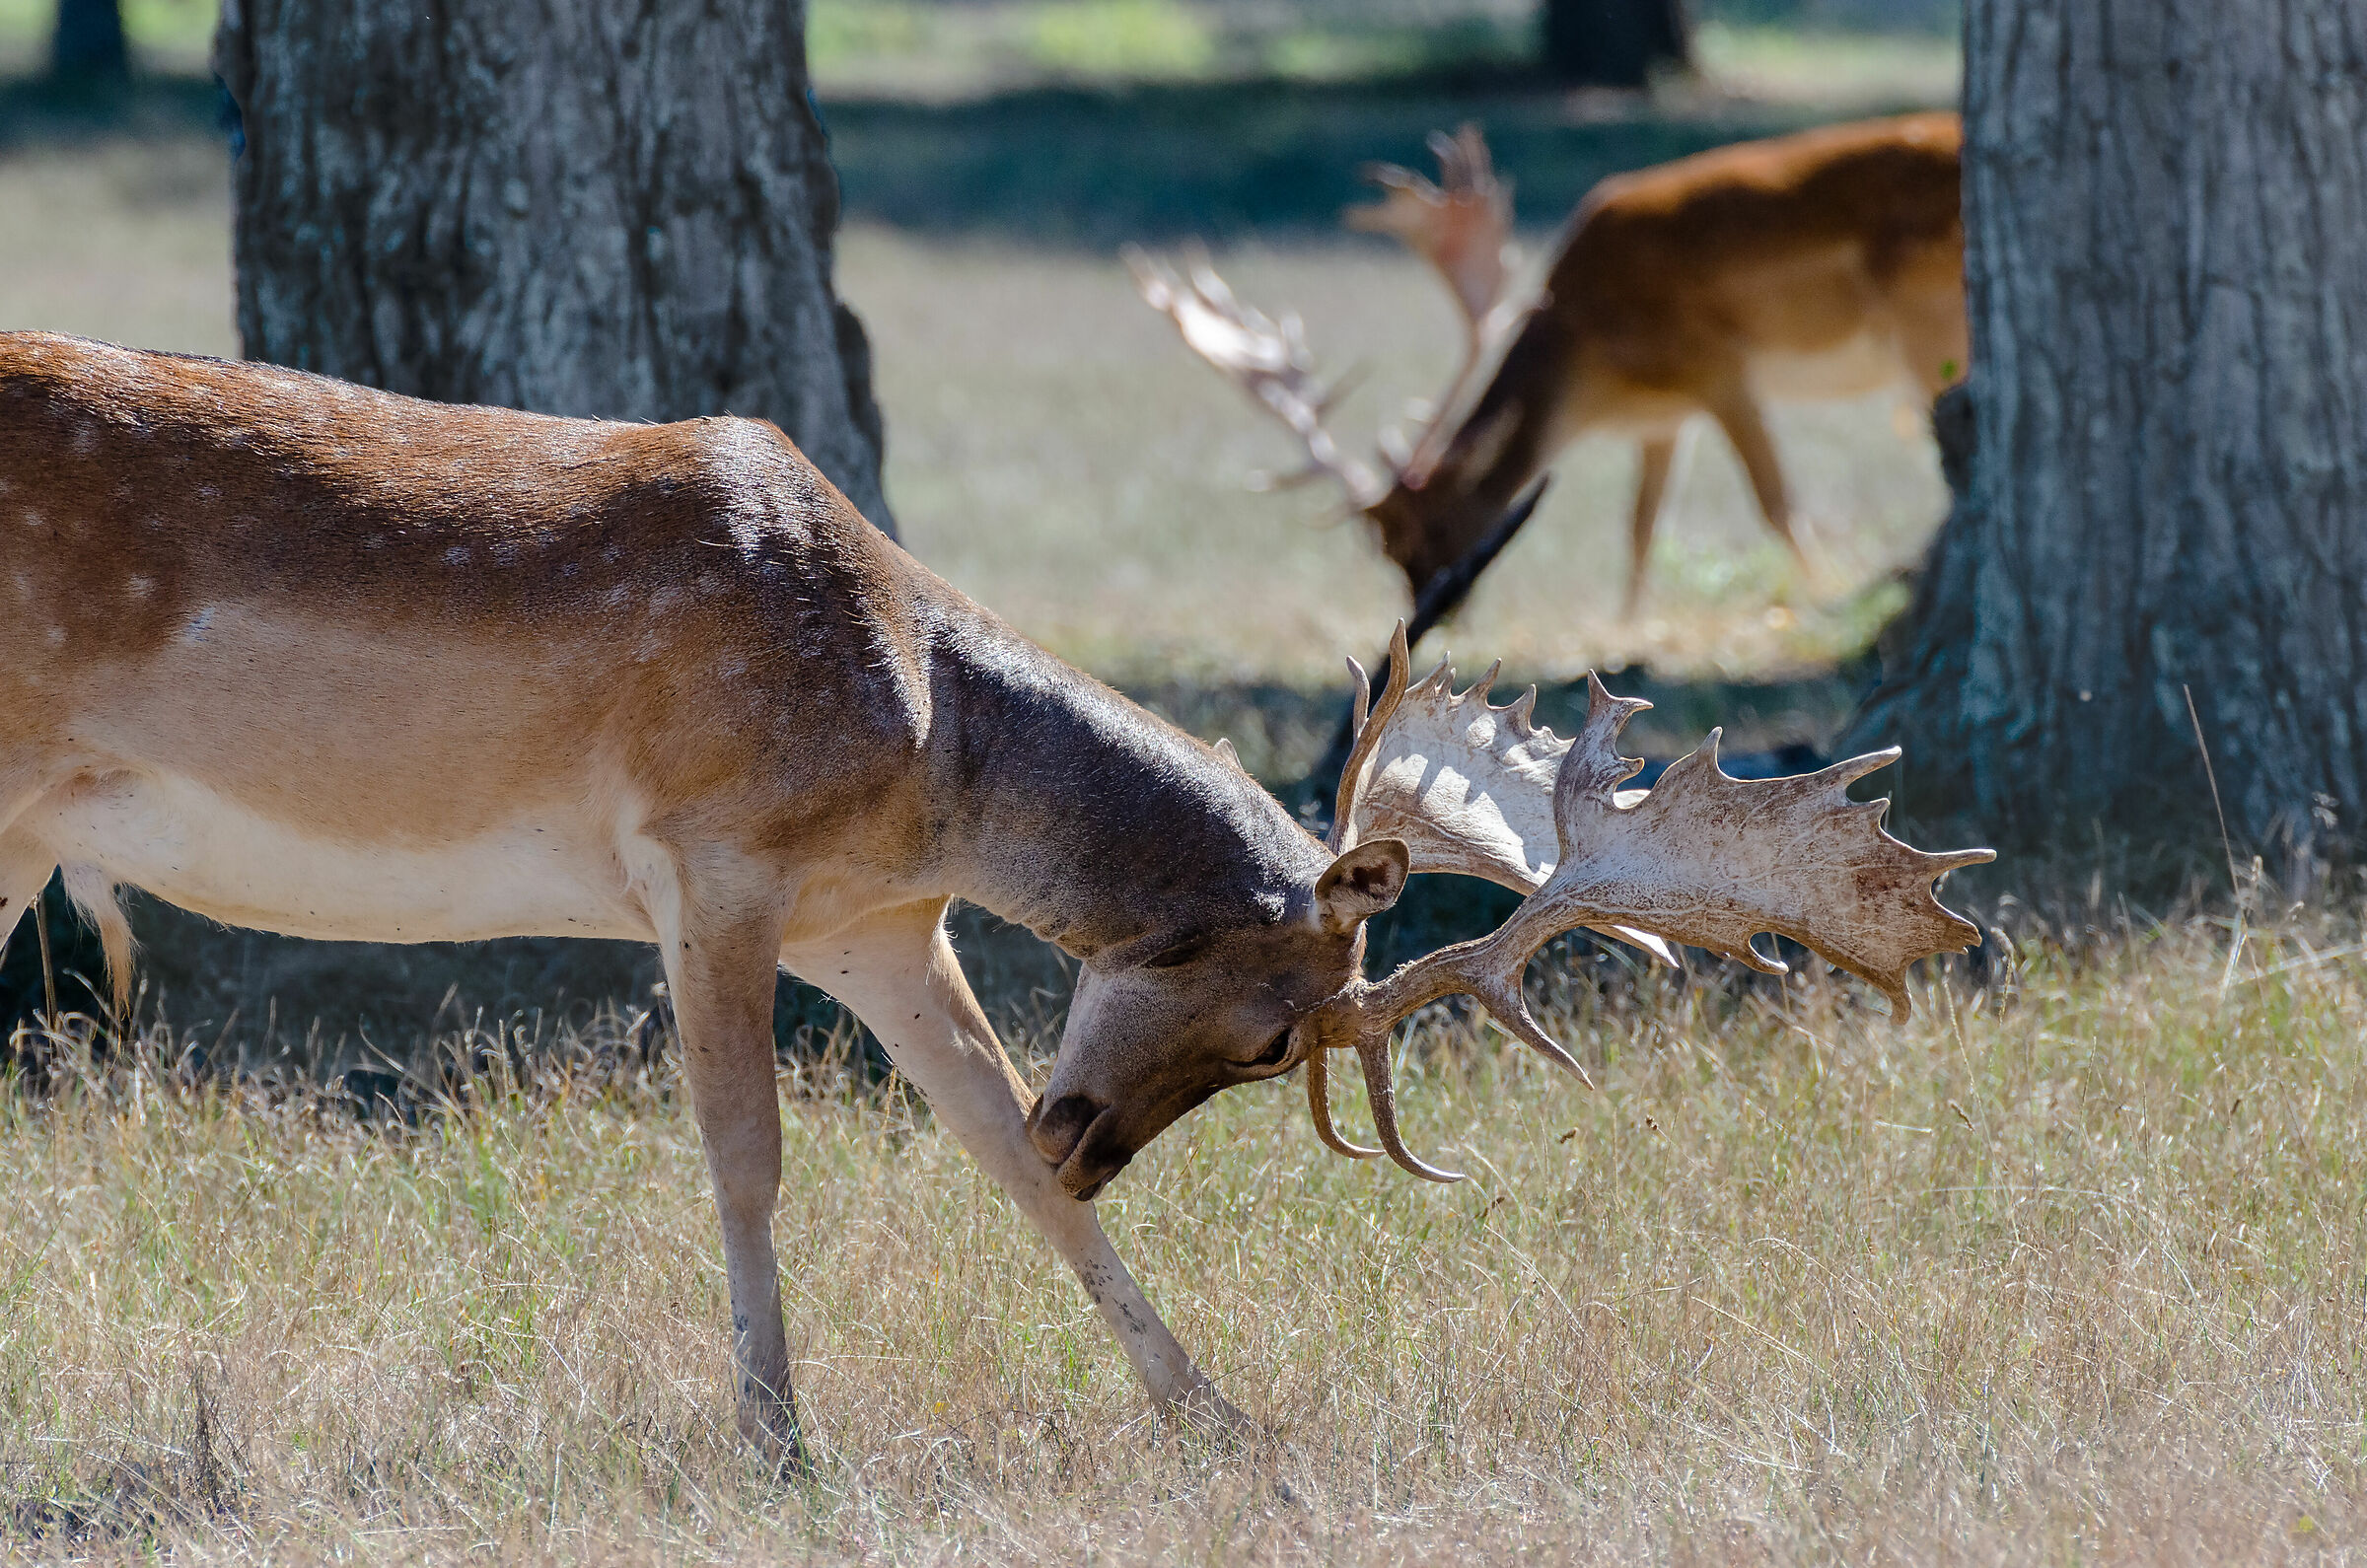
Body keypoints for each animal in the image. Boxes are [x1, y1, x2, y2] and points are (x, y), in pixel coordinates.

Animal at [0, 330, 1990, 1468]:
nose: (1097, 1129)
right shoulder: (707, 856)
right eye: (1276, 1032)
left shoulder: (875, 921)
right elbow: (747, 1157)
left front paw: (1219, 1417)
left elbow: (988, 1157)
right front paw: (775, 1442)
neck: (925, 749)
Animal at [1132, 112, 1967, 618]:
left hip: (1926, 325)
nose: (1432, 613)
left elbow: (1777, 503)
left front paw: (1825, 594)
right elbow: (1641, 526)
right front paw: (1628, 627)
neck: (1594, 362)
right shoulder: (1664, 419)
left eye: (1431, 529)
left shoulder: (1719, 365)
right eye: (1382, 549)